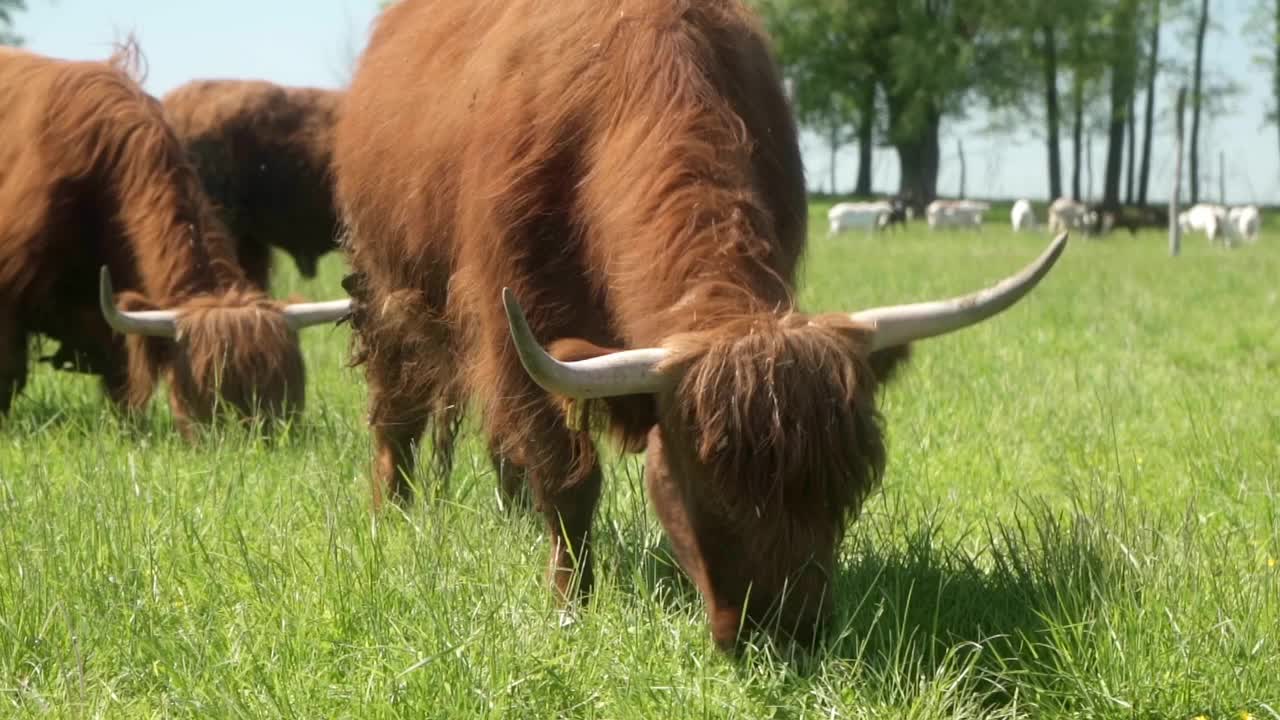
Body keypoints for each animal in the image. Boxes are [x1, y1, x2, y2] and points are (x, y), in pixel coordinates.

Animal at [332, 0, 1070, 650]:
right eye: (706, 487)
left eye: (848, 485)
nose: (787, 637)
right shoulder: (512, 321)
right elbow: (568, 480)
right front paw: (571, 604)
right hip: (386, 286)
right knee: (399, 411)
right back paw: (390, 515)